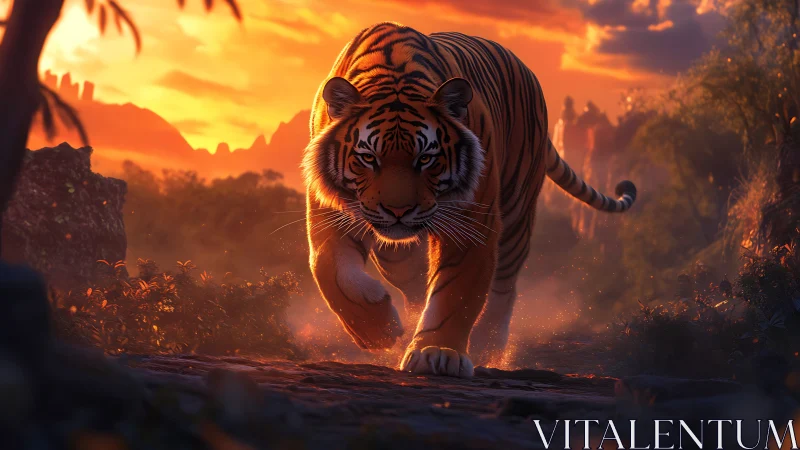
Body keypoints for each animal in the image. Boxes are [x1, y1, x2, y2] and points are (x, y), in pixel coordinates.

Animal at [302, 22, 636, 378]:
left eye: (426, 158)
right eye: (368, 158)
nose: (398, 211)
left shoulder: (470, 220)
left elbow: (456, 292)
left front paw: (437, 352)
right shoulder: (330, 211)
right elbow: (331, 270)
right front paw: (378, 330)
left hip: (516, 211)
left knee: (504, 288)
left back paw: (486, 346)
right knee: (409, 274)